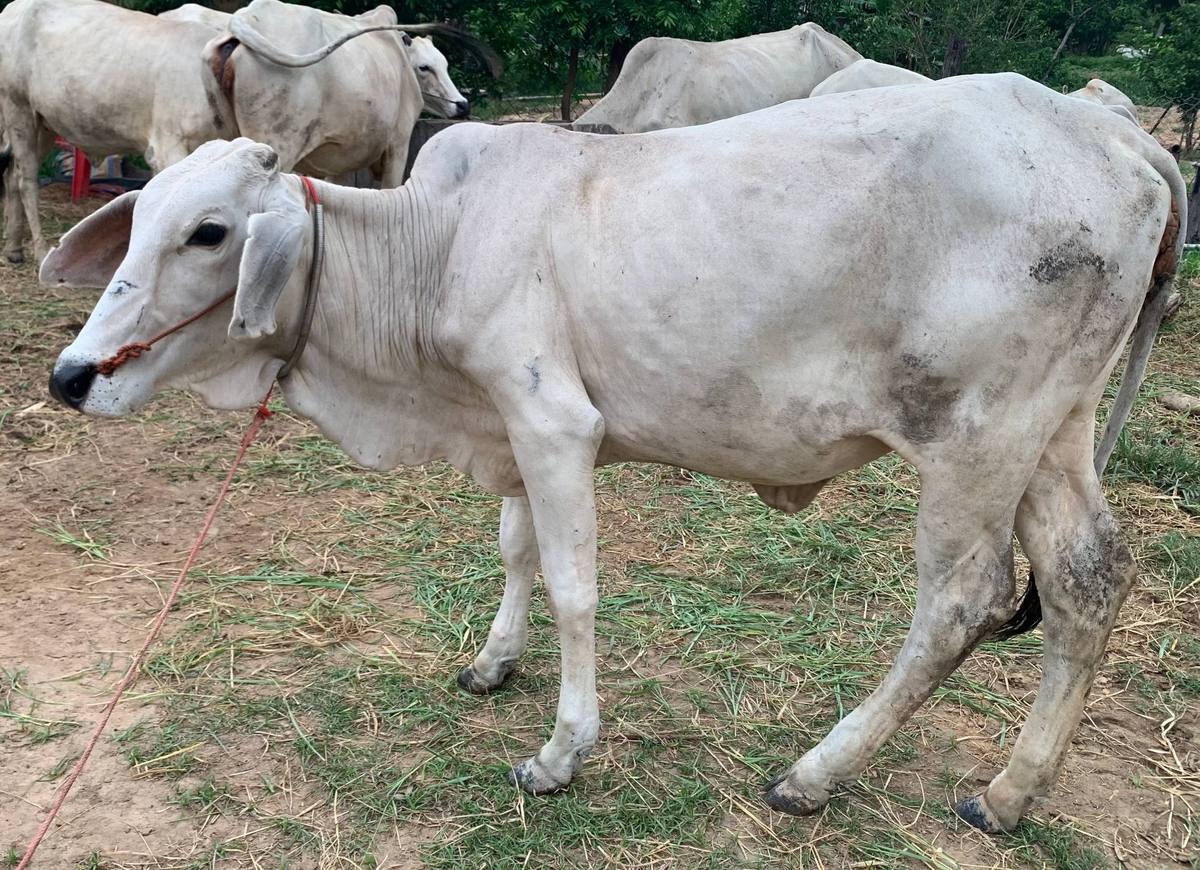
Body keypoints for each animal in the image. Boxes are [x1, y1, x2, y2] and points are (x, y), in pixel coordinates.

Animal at [0, 0, 237, 265]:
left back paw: (13, 247)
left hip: (44, 123)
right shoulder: (169, 148)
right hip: (17, 108)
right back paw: (40, 251)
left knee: (12, 176)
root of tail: (15, 8)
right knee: (25, 179)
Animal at [45, 74, 1183, 832]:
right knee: (1087, 579)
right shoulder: (510, 423)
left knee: (960, 603)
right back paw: (1011, 791)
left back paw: (816, 773)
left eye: (208, 233)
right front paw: (493, 663)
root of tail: (1111, 128)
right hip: (1053, 432)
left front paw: (560, 753)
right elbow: (512, 551)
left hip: (975, 440)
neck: (436, 242)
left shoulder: (553, 423)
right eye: (136, 223)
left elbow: (571, 585)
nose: (72, 375)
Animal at [204, 0, 498, 186]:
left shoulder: (339, 162)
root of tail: (245, 19)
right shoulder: (398, 145)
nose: (462, 105)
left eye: (445, 64)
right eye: (424, 67)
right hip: (276, 146)